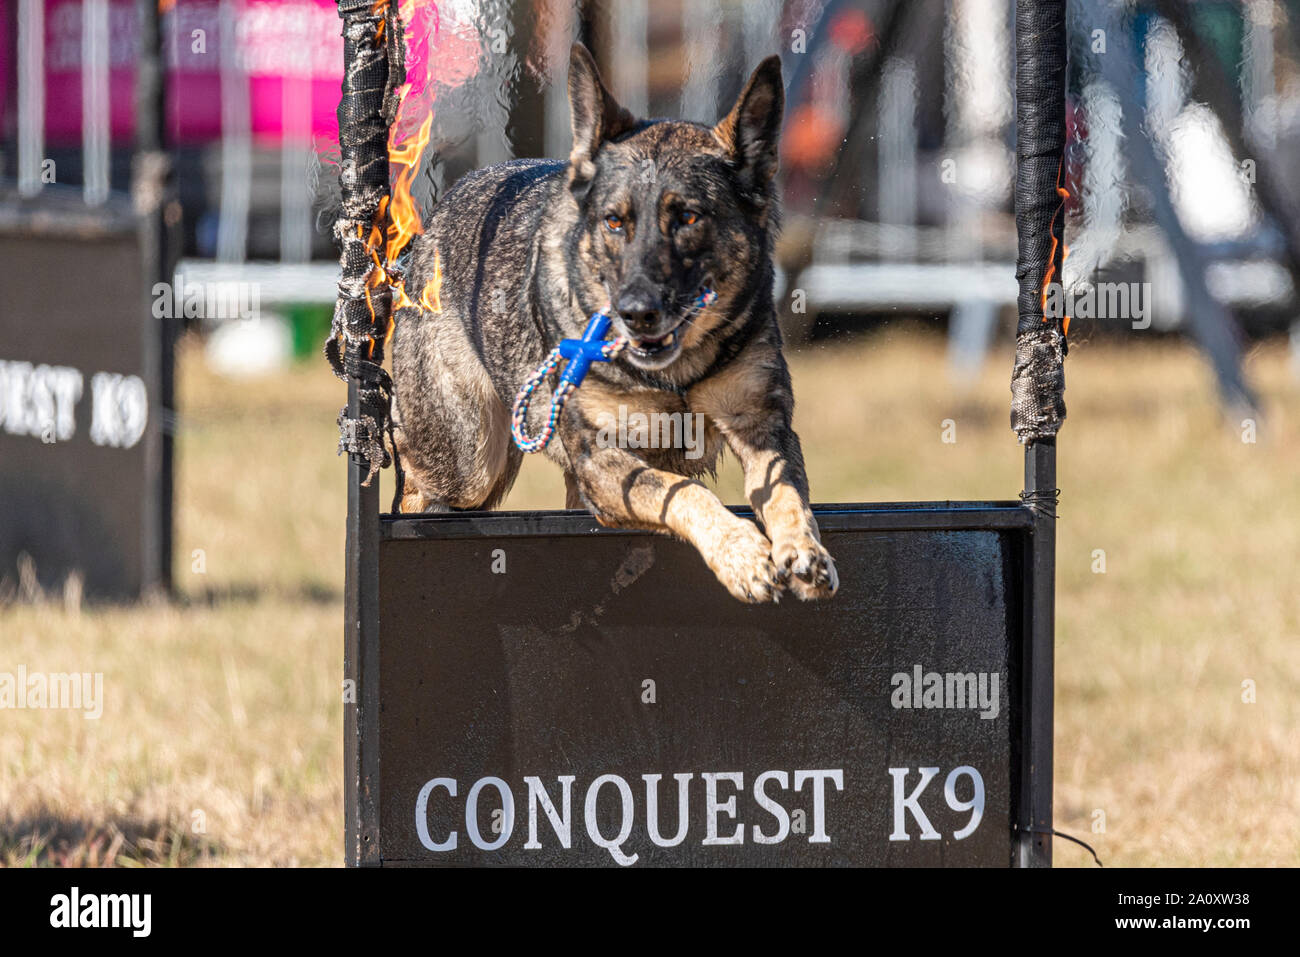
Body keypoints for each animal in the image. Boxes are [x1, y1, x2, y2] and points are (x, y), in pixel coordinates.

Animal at [387, 44, 832, 600]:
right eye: (614, 222)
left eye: (688, 218)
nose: (636, 313)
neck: (673, 375)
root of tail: (430, 231)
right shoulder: (602, 461)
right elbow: (682, 489)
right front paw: (743, 555)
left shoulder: (761, 423)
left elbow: (786, 494)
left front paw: (804, 552)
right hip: (468, 458)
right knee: (414, 491)